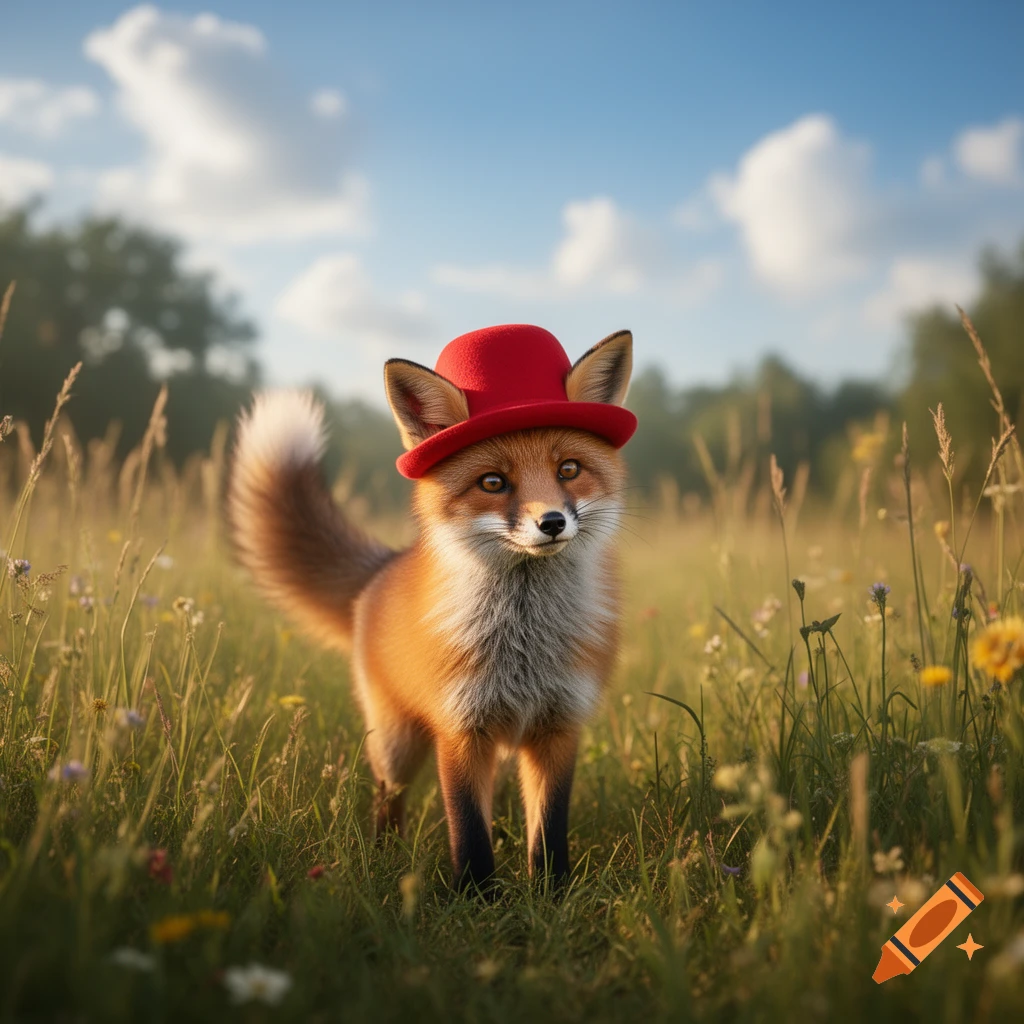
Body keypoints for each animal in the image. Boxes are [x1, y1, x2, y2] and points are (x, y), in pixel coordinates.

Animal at [227, 326, 634, 888]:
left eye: (569, 469)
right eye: (492, 482)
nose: (552, 522)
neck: (523, 645)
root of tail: (386, 565)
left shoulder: (559, 726)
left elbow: (549, 831)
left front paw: (551, 892)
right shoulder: (459, 728)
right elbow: (468, 830)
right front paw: (477, 896)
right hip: (396, 741)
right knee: (388, 798)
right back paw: (385, 855)